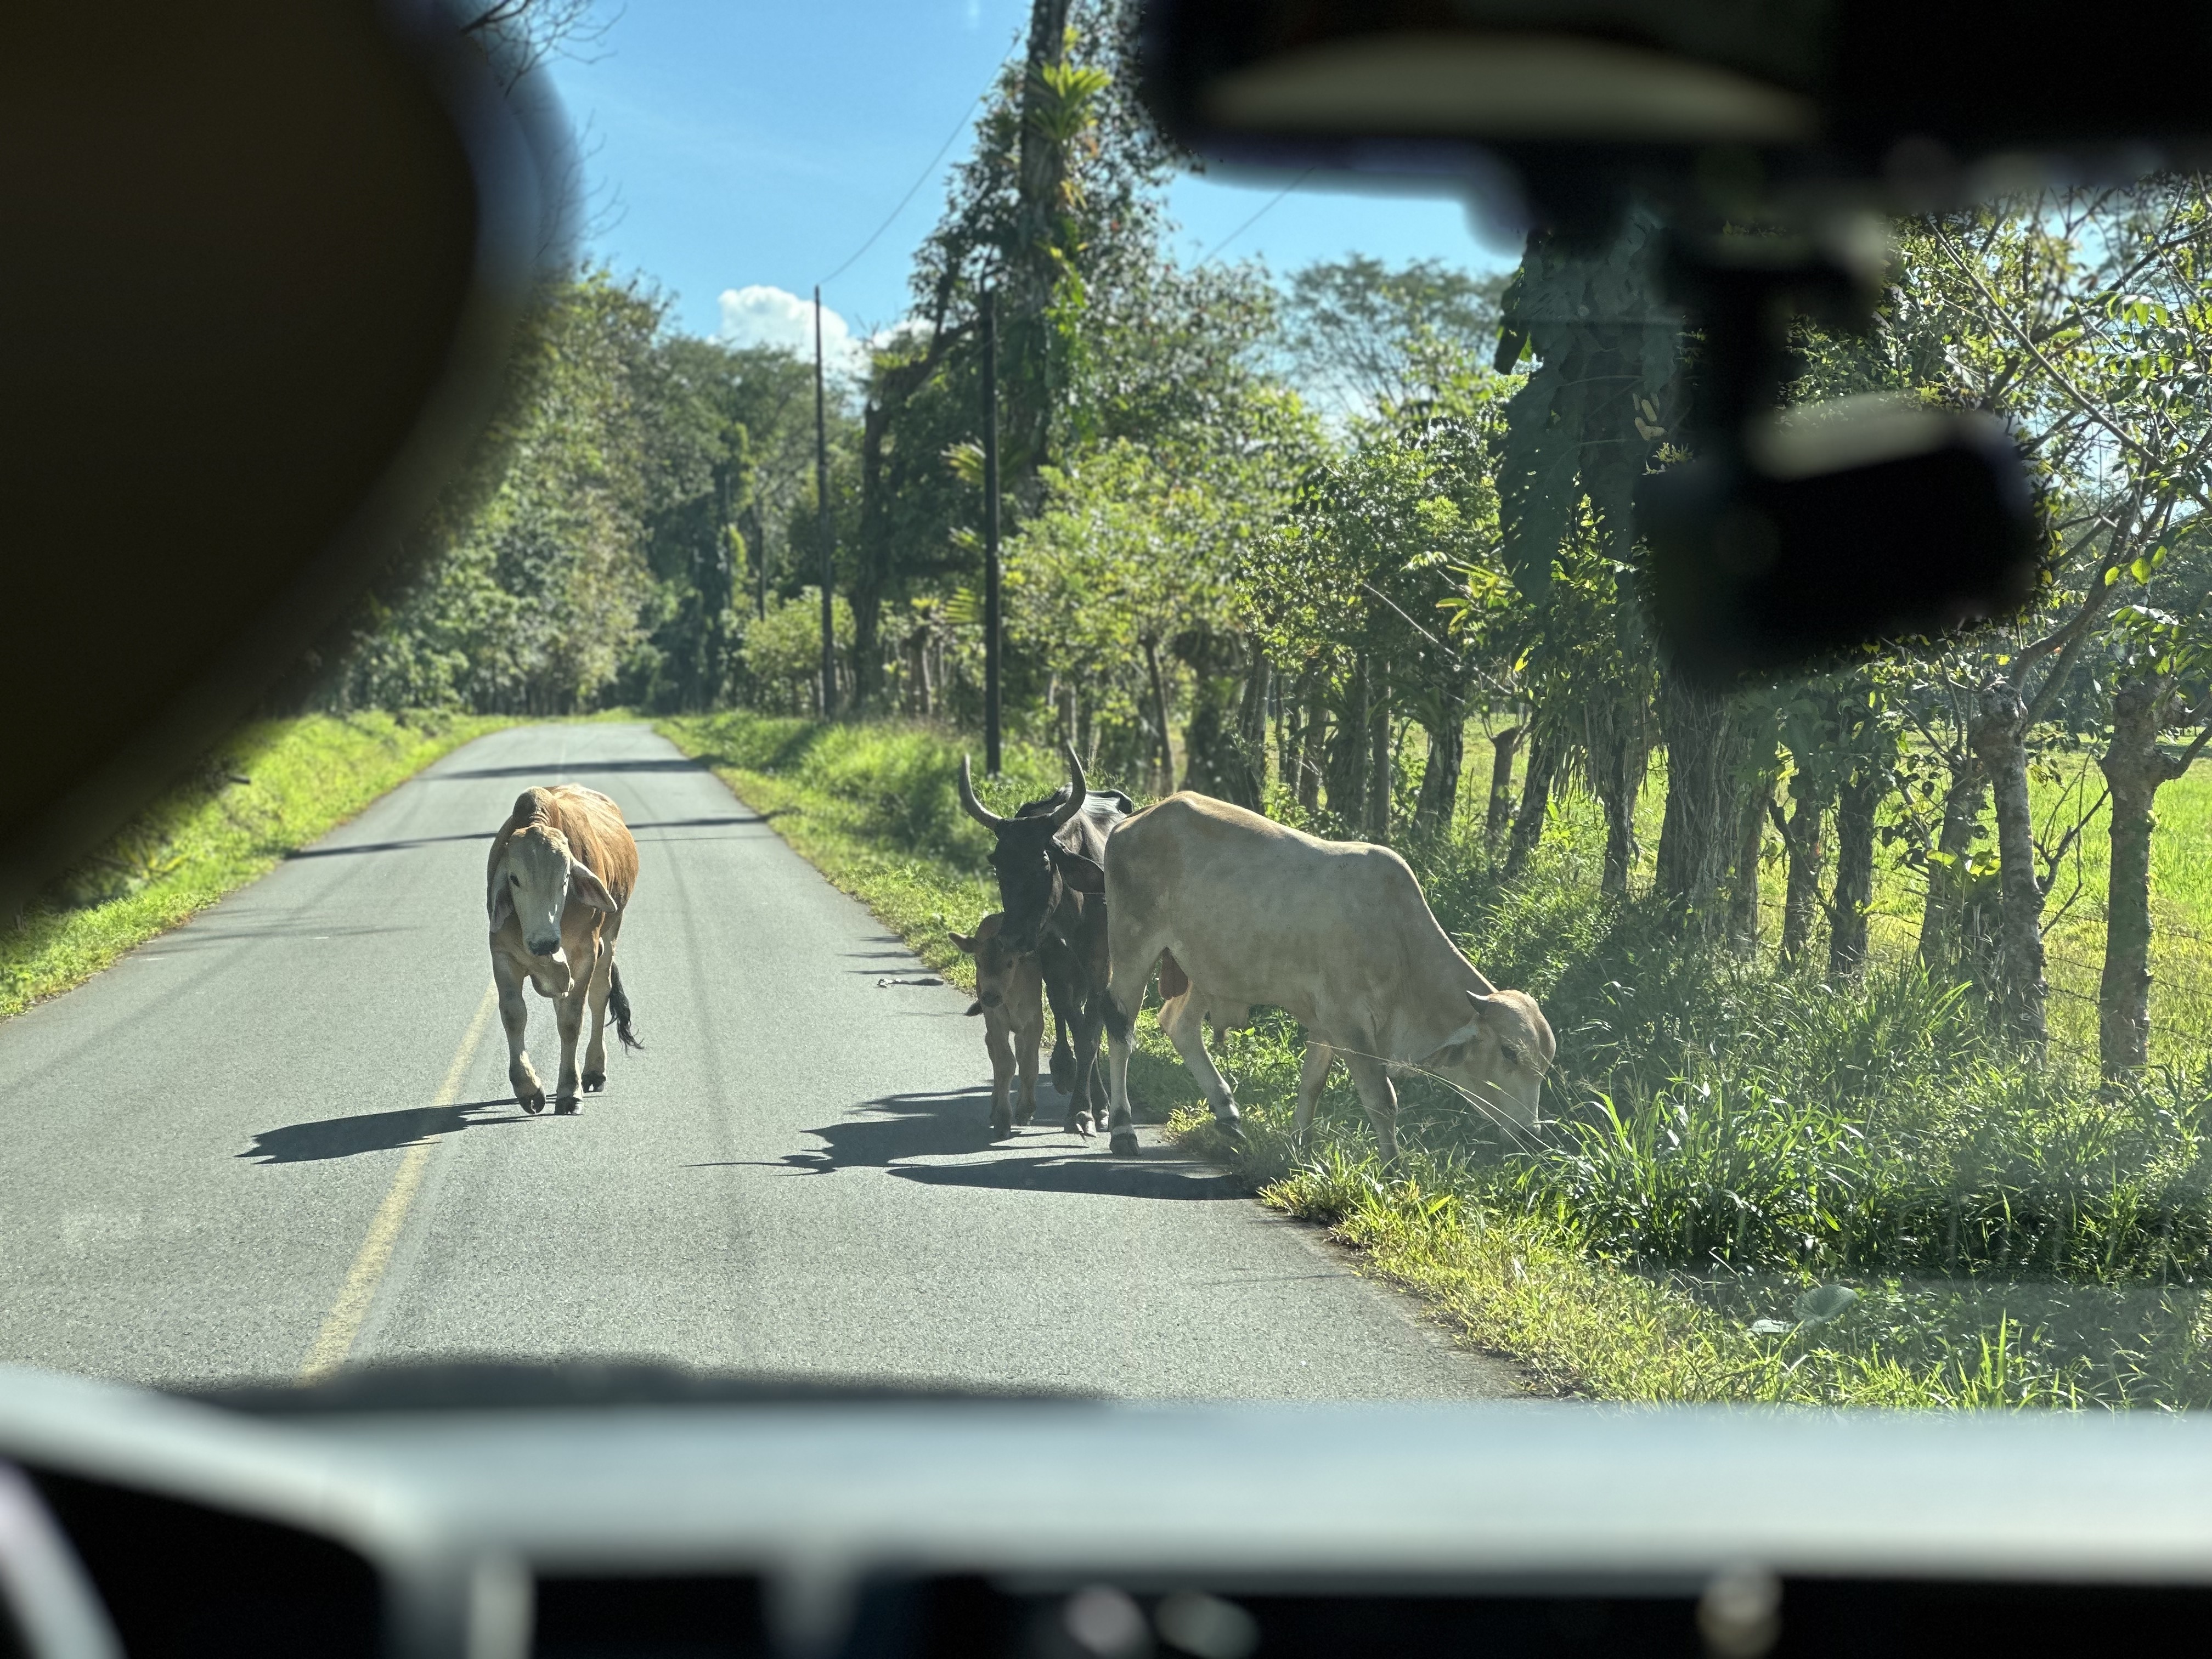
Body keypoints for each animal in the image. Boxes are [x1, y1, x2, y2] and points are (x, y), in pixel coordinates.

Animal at [951, 916, 1044, 1150]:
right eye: (978, 962)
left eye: (1010, 963)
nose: (990, 996)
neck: (1012, 996)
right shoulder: (995, 1018)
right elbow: (1005, 1064)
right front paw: (1003, 1119)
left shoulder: (1035, 1020)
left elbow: (1029, 1064)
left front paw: (1026, 1110)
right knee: (992, 1046)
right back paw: (995, 1107)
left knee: (1018, 1050)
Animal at [1092, 796, 1548, 1159]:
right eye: (1509, 1053)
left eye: (1544, 1067)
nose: (1532, 1135)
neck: (1400, 942)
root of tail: (1136, 819)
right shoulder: (1349, 1023)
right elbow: (1381, 1098)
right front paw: (1394, 1170)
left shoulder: (1326, 1024)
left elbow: (1311, 1084)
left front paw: (1301, 1150)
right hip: (1133, 948)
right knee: (1121, 1031)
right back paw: (1123, 1128)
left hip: (1205, 968)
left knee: (1178, 1025)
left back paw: (1227, 1112)